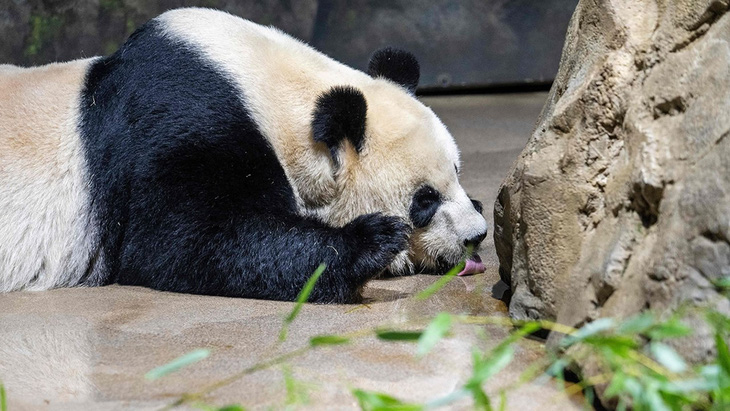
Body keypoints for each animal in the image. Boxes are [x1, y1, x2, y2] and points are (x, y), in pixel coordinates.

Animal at [1, 6, 490, 302]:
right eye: (424, 199)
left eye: (457, 171)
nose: (476, 236)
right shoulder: (177, 122)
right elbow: (185, 242)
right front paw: (375, 241)